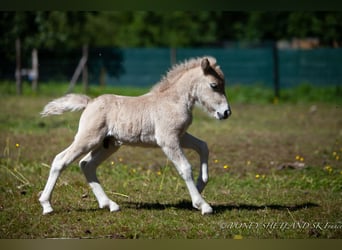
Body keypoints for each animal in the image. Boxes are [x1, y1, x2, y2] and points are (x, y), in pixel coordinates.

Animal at [39, 56, 232, 215]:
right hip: (88, 139)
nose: (226, 113)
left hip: (108, 144)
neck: (174, 100)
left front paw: (201, 184)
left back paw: (109, 204)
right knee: (60, 160)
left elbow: (203, 146)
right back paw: (46, 205)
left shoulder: (180, 135)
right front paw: (203, 205)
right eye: (214, 85)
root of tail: (90, 102)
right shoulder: (167, 139)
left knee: (87, 164)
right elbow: (185, 168)